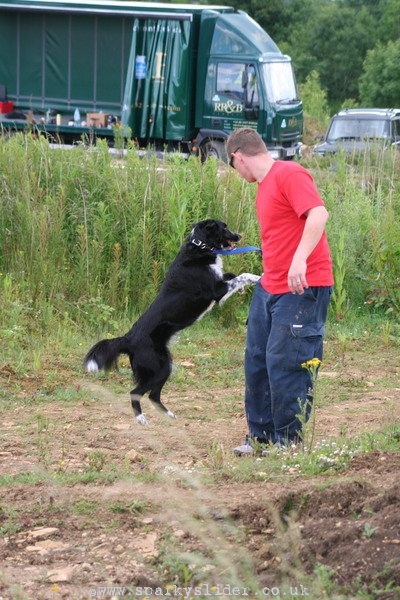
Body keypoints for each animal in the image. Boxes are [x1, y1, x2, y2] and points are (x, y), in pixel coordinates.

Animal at [84, 221, 260, 426]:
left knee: (153, 395)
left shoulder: (219, 282)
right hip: (159, 367)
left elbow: (231, 274)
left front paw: (241, 288)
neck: (199, 246)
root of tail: (127, 339)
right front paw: (258, 277)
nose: (239, 236)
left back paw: (168, 415)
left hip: (165, 366)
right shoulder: (217, 292)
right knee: (135, 393)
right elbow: (243, 275)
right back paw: (141, 419)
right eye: (224, 228)